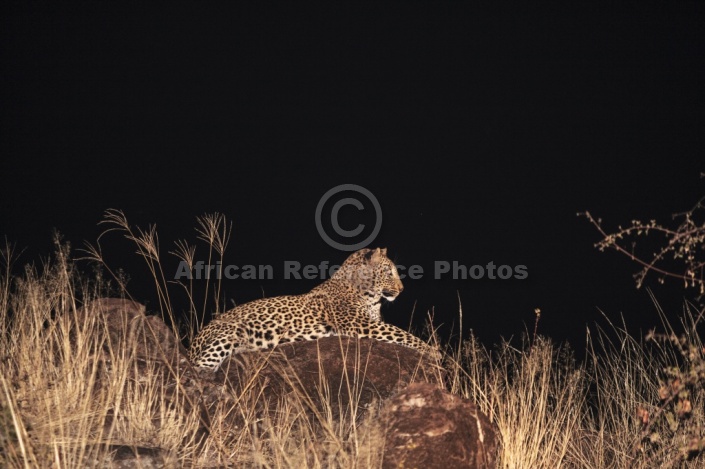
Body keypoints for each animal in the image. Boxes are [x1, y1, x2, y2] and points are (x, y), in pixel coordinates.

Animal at [190, 247, 438, 372]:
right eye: (388, 272)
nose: (402, 289)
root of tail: (194, 340)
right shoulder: (360, 323)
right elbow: (401, 333)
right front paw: (433, 350)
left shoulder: (370, 321)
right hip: (229, 333)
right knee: (199, 368)